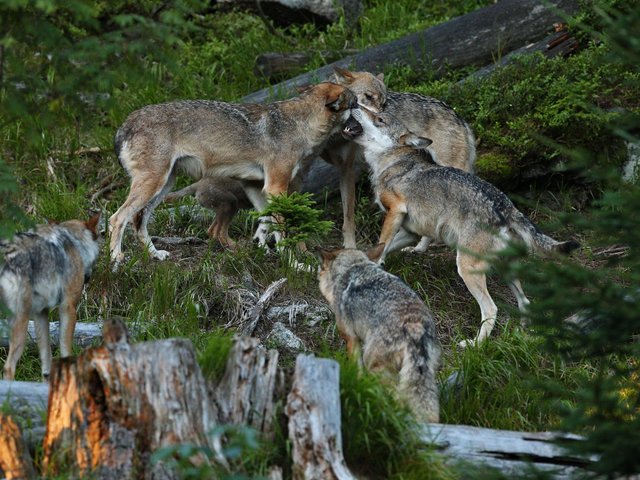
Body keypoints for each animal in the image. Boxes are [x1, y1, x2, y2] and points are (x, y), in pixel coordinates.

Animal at [0, 216, 100, 380]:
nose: (87, 278)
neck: (73, 241)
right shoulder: (68, 307)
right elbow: (65, 350)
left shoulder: (41, 312)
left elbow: (46, 359)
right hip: (20, 321)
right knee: (8, 367)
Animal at [109, 81, 356, 262]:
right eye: (356, 106)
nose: (362, 126)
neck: (299, 125)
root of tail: (124, 125)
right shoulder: (275, 187)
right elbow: (282, 229)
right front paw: (294, 263)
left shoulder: (256, 187)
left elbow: (266, 222)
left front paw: (263, 249)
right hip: (154, 185)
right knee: (117, 218)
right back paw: (116, 259)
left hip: (164, 185)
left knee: (138, 220)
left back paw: (155, 255)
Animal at [318, 242, 440, 422]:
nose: (317, 274)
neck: (353, 267)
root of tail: (415, 327)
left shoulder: (351, 339)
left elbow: (356, 369)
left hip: (375, 366)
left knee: (396, 397)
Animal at [344, 108, 580, 348]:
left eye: (379, 118)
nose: (355, 105)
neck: (391, 161)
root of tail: (505, 206)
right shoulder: (410, 232)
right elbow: (381, 247)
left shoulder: (396, 212)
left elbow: (382, 244)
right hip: (505, 270)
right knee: (525, 301)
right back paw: (524, 332)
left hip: (466, 269)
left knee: (491, 309)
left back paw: (474, 344)